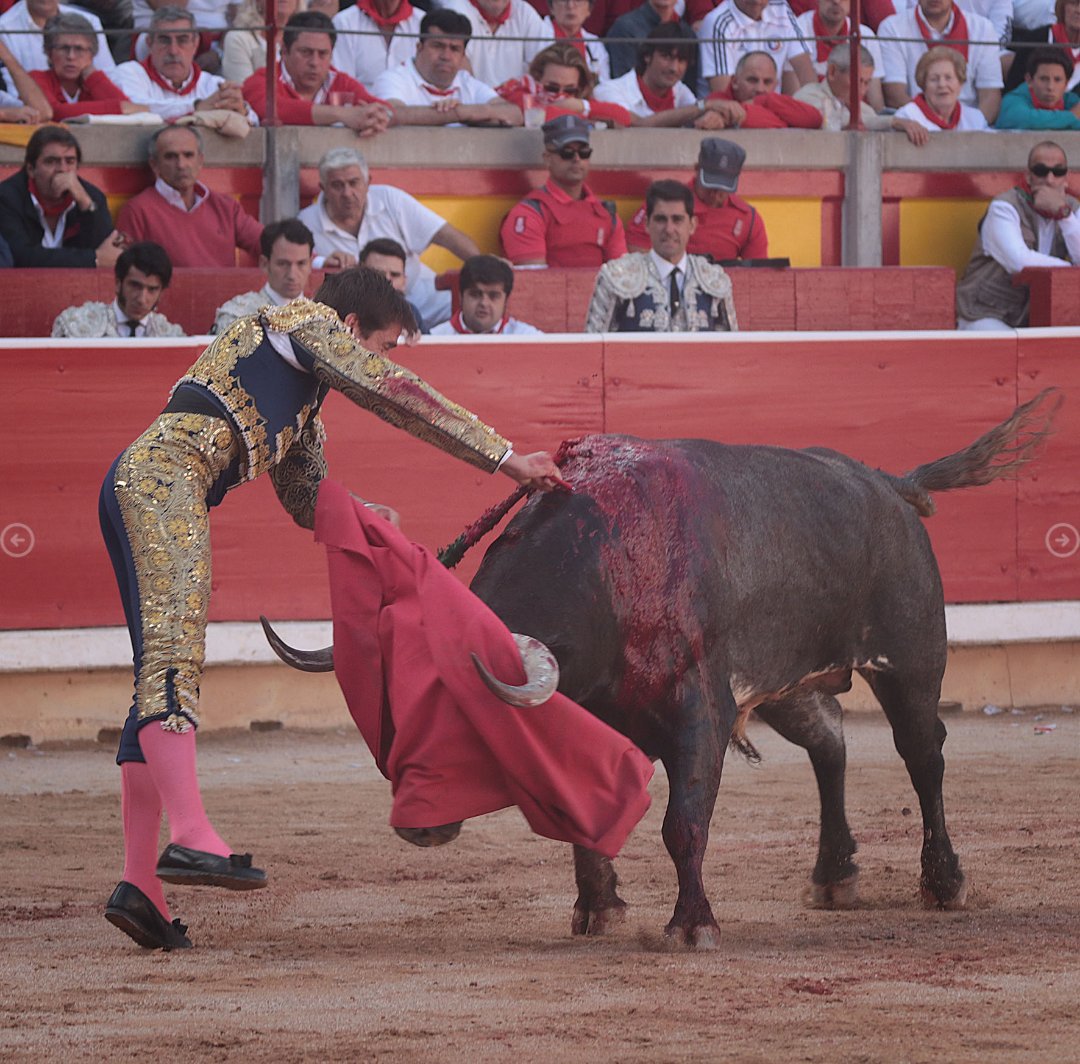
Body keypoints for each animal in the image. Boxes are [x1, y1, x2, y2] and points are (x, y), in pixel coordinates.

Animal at [261, 391, 1054, 946]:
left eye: (473, 723)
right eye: (397, 713)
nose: (417, 829)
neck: (607, 569)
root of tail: (890, 483)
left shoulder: (700, 713)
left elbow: (684, 823)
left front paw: (692, 926)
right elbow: (583, 818)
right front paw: (597, 911)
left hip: (911, 660)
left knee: (924, 756)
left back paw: (945, 883)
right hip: (785, 682)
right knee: (830, 745)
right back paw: (834, 878)